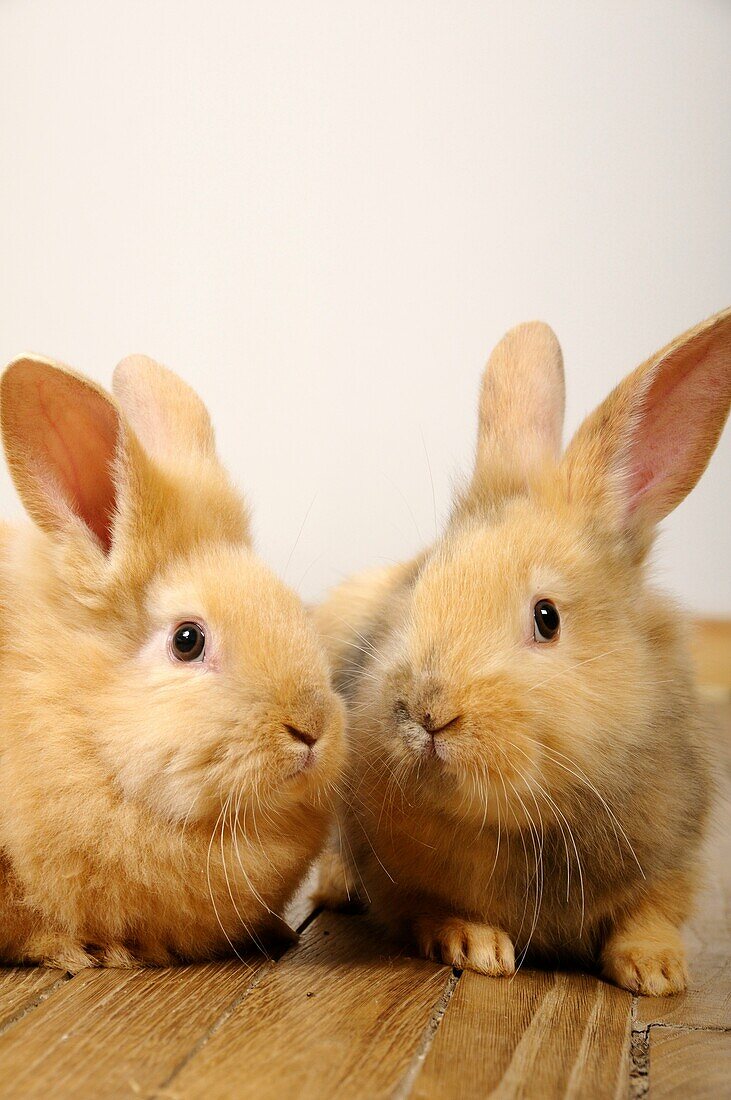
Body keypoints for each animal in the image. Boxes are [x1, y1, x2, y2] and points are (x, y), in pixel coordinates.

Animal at [314, 310, 729, 998]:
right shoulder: (397, 878)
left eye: (547, 618)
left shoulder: (676, 855)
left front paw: (658, 971)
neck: (522, 820)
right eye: (422, 580)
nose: (429, 712)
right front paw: (476, 944)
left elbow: (651, 913)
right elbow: (425, 910)